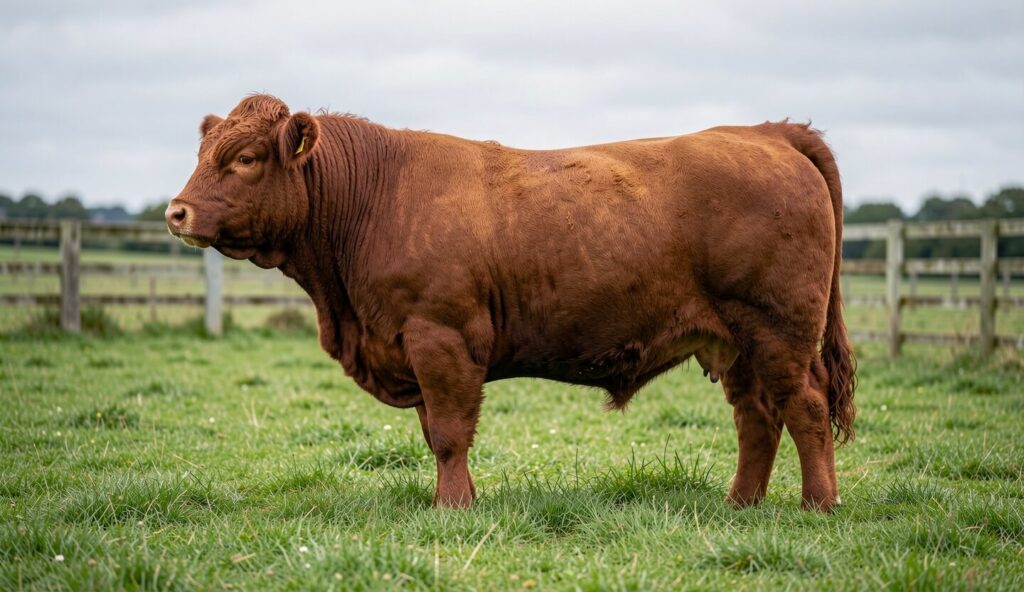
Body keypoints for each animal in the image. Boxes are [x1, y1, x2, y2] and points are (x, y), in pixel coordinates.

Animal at [166, 94, 856, 511]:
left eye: (246, 157)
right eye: (202, 153)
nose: (177, 211)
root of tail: (766, 132)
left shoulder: (439, 336)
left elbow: (449, 433)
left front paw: (450, 507)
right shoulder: (417, 348)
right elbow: (436, 433)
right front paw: (463, 500)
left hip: (779, 328)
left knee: (805, 406)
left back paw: (818, 504)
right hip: (737, 341)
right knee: (758, 417)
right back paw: (741, 503)